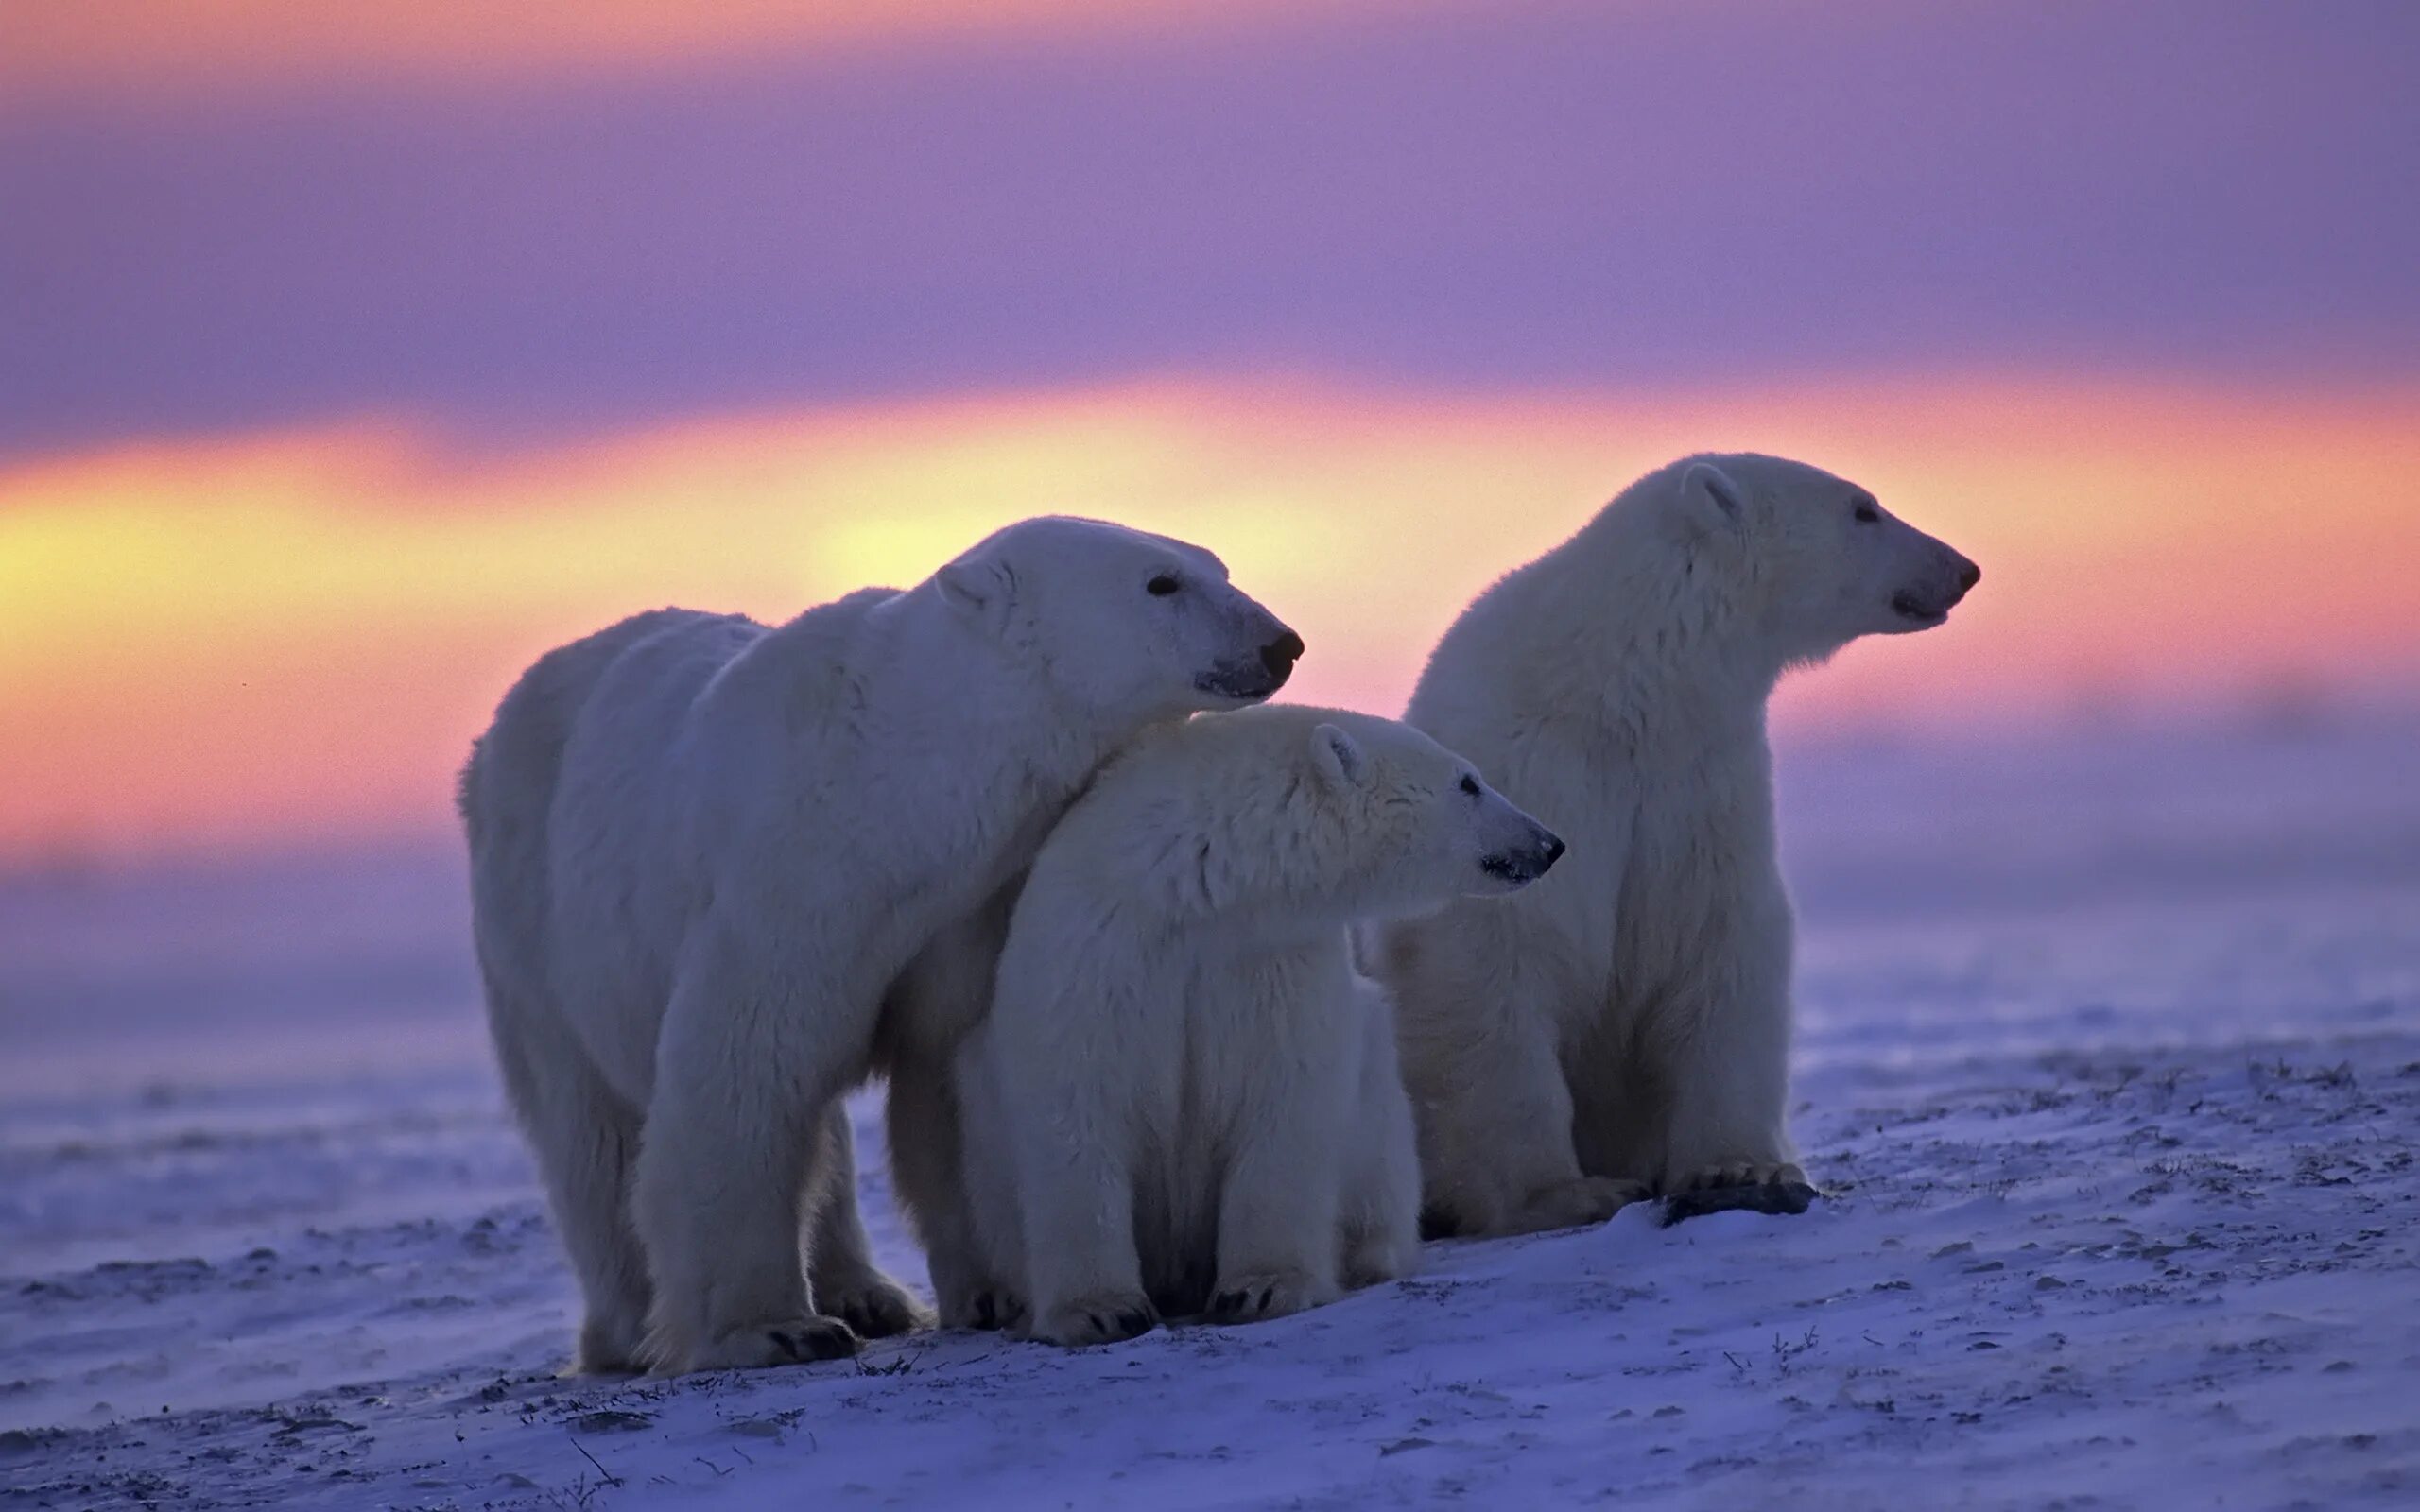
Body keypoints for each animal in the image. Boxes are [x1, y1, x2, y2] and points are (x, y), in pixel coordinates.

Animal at [464, 515, 1316, 1364]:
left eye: (1217, 563)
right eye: (1160, 582)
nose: (1282, 643)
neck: (897, 795)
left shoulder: (966, 910)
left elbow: (948, 1073)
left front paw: (994, 1292)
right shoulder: (788, 883)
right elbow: (742, 1072)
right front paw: (774, 1327)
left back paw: (868, 1295)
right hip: (533, 925)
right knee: (592, 1133)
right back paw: (630, 1330)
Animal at [953, 696, 1558, 1345]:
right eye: (1469, 782)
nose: (1549, 844)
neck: (1197, 891)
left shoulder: (1272, 959)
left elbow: (1284, 1102)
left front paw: (1262, 1288)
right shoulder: (1097, 948)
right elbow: (1074, 1109)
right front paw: (1101, 1310)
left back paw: (1368, 1254)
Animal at [1374, 456, 1974, 1238]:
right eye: (1863, 509)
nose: (1963, 568)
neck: (1621, 695)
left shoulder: (1698, 789)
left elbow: (1719, 944)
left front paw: (1741, 1169)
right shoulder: (1532, 780)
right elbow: (1496, 966)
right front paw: (1565, 1193)